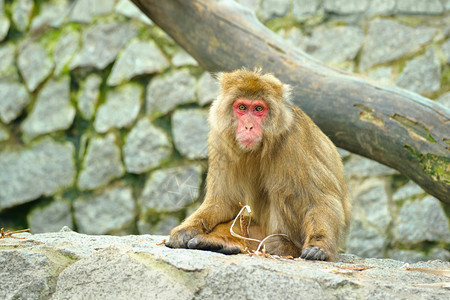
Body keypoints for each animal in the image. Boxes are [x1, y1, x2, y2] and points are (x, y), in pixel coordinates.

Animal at [166, 69, 352, 262]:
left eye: (258, 109)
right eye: (242, 107)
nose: (248, 126)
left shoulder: (295, 138)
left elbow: (319, 200)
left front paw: (318, 245)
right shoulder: (220, 139)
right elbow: (223, 202)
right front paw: (187, 229)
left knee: (282, 190)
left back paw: (285, 246)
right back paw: (218, 242)